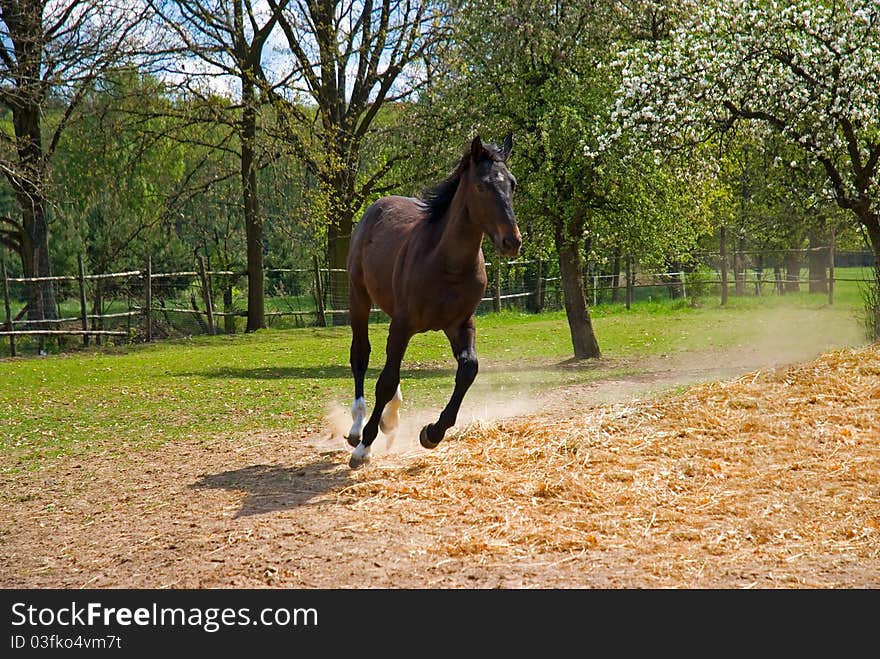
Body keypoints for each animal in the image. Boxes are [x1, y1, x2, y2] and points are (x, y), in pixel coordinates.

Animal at [346, 134, 524, 470]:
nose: (512, 241)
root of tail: (376, 207)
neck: (447, 264)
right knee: (361, 355)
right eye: (481, 186)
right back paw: (355, 428)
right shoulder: (404, 324)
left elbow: (468, 370)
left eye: (512, 184)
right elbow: (385, 380)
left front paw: (432, 432)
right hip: (359, 298)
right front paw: (364, 446)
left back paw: (390, 420)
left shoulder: (460, 324)